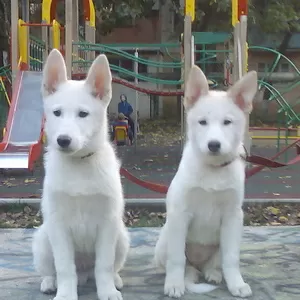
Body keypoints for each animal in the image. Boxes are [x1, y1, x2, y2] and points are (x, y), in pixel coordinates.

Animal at [32, 49, 129, 300]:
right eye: (56, 113)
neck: (79, 164)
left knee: (110, 267)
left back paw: (115, 280)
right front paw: (66, 293)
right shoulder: (58, 226)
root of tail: (85, 273)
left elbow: (104, 265)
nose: (63, 140)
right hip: (43, 238)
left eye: (83, 114)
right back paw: (50, 282)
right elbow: (65, 267)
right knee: (51, 269)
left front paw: (107, 291)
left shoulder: (107, 223)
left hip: (121, 236)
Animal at [155, 65, 258, 298]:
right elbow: (177, 259)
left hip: (225, 240)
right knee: (183, 265)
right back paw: (186, 277)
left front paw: (236, 284)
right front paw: (174, 284)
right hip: (165, 237)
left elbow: (231, 259)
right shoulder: (180, 214)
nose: (213, 145)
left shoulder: (233, 216)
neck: (213, 169)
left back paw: (213, 273)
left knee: (215, 264)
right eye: (202, 122)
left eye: (227, 122)